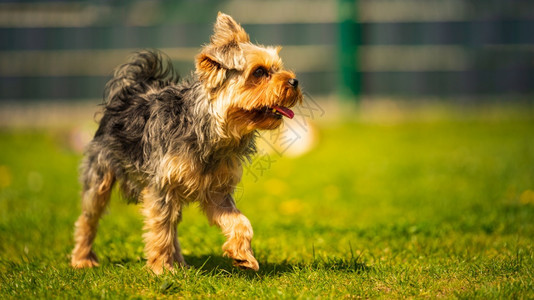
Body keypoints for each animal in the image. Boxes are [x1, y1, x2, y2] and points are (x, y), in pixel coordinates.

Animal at [71, 12, 304, 274]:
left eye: (278, 68)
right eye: (259, 72)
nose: (295, 81)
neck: (210, 130)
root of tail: (129, 92)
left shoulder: (217, 192)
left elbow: (240, 221)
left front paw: (242, 255)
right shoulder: (161, 186)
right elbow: (159, 229)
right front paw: (161, 269)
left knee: (173, 223)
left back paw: (180, 261)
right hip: (100, 172)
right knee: (89, 217)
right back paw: (82, 259)